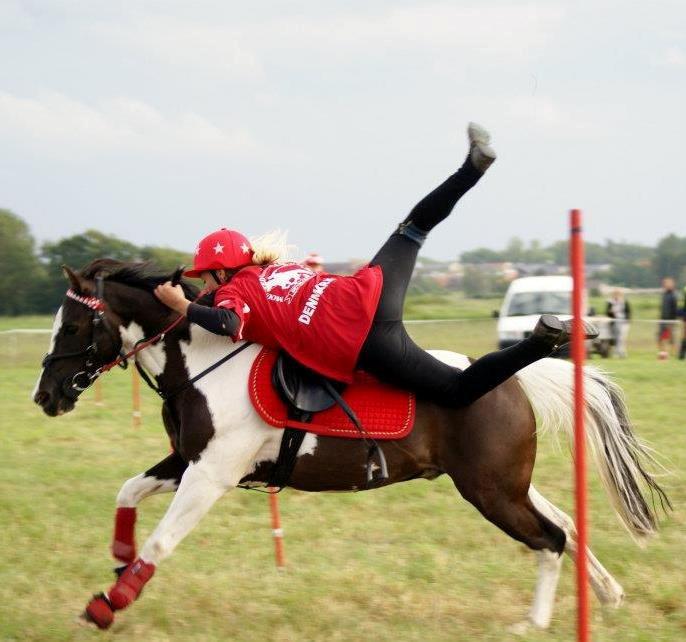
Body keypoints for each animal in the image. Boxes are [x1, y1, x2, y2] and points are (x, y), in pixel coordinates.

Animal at [32, 259, 670, 632]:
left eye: (72, 327)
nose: (45, 396)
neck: (206, 362)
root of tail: (511, 382)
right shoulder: (189, 461)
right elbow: (128, 490)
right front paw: (120, 555)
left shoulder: (212, 474)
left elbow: (162, 541)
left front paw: (107, 604)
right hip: (508, 484)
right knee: (564, 521)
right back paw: (606, 593)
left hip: (490, 491)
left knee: (551, 538)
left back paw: (533, 623)